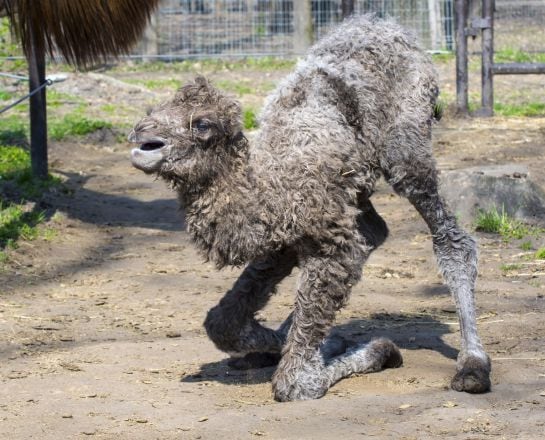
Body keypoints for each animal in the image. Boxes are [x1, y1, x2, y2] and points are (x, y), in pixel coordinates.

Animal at [129, 15, 488, 400]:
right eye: (150, 113)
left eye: (202, 125)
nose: (142, 139)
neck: (266, 181)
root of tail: (391, 27)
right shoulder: (288, 236)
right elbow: (221, 323)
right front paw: (293, 342)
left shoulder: (327, 241)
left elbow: (297, 383)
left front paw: (373, 350)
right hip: (353, 188)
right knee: (374, 231)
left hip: (405, 150)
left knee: (451, 240)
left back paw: (473, 366)